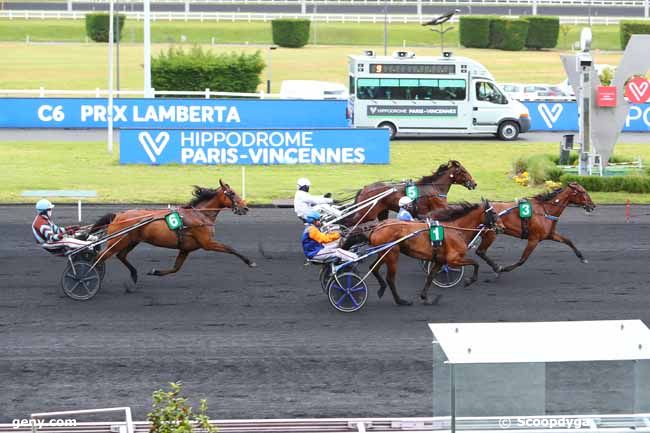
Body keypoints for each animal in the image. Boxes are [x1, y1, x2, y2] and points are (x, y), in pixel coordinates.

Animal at [90, 179, 254, 286]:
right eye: (232, 193)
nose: (245, 208)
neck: (199, 215)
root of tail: (117, 215)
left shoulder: (185, 248)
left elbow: (176, 268)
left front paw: (155, 271)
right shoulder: (207, 243)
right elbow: (230, 248)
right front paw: (250, 262)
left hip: (131, 241)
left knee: (120, 256)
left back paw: (134, 274)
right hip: (118, 241)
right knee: (99, 258)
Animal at [344, 160, 476, 224]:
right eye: (464, 171)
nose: (474, 183)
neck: (434, 188)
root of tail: (364, 189)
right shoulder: (440, 209)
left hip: (382, 212)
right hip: (367, 214)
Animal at [364, 201, 496, 306]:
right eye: (494, 213)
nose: (497, 227)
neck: (456, 229)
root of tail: (377, 227)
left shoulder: (440, 260)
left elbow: (430, 276)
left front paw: (425, 297)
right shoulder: (453, 259)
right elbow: (476, 263)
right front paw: (469, 281)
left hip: (383, 254)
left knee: (373, 268)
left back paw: (382, 289)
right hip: (392, 255)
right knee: (390, 279)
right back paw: (400, 301)